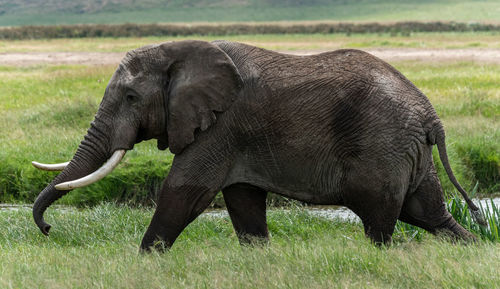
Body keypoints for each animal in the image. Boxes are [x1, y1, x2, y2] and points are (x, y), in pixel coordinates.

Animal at [30, 39, 484, 249]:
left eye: (129, 98)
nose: (49, 229)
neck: (183, 50)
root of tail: (431, 115)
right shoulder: (234, 139)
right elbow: (243, 203)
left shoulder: (221, 125)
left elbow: (185, 193)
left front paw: (144, 261)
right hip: (408, 151)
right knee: (428, 213)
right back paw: (473, 247)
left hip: (383, 146)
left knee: (380, 220)